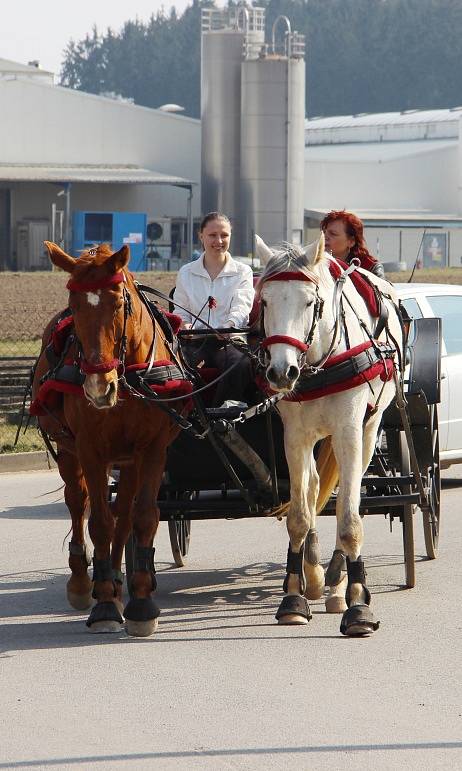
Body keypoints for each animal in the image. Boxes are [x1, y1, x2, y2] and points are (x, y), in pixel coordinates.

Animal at [32, 244, 182, 636]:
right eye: (74, 305)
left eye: (117, 302)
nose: (100, 388)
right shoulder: (90, 450)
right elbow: (98, 523)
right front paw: (103, 605)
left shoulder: (152, 449)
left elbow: (143, 517)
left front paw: (141, 601)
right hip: (69, 451)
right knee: (77, 502)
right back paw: (86, 582)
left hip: (128, 460)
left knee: (124, 513)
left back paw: (116, 579)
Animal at [254, 232, 402, 636]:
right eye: (264, 301)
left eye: (310, 301)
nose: (281, 372)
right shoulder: (295, 437)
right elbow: (299, 517)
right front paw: (293, 598)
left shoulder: (349, 432)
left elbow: (349, 519)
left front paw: (357, 603)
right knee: (315, 487)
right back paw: (316, 574)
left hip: (368, 429)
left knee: (349, 496)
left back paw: (338, 583)